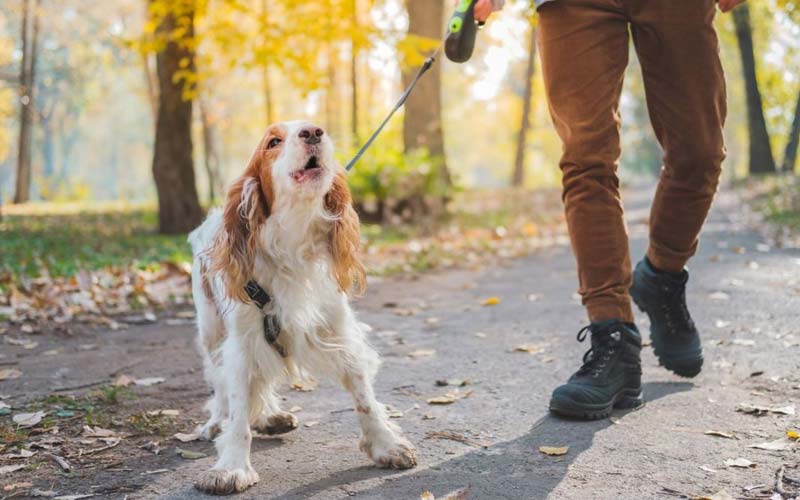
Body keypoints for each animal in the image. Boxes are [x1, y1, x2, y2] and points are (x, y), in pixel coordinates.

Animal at [188, 122, 418, 496]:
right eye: (273, 142)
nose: (313, 132)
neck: (292, 243)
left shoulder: (339, 330)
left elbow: (364, 396)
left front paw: (386, 444)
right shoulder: (242, 342)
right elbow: (238, 410)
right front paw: (231, 467)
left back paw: (270, 416)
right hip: (211, 330)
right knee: (220, 384)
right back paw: (217, 421)